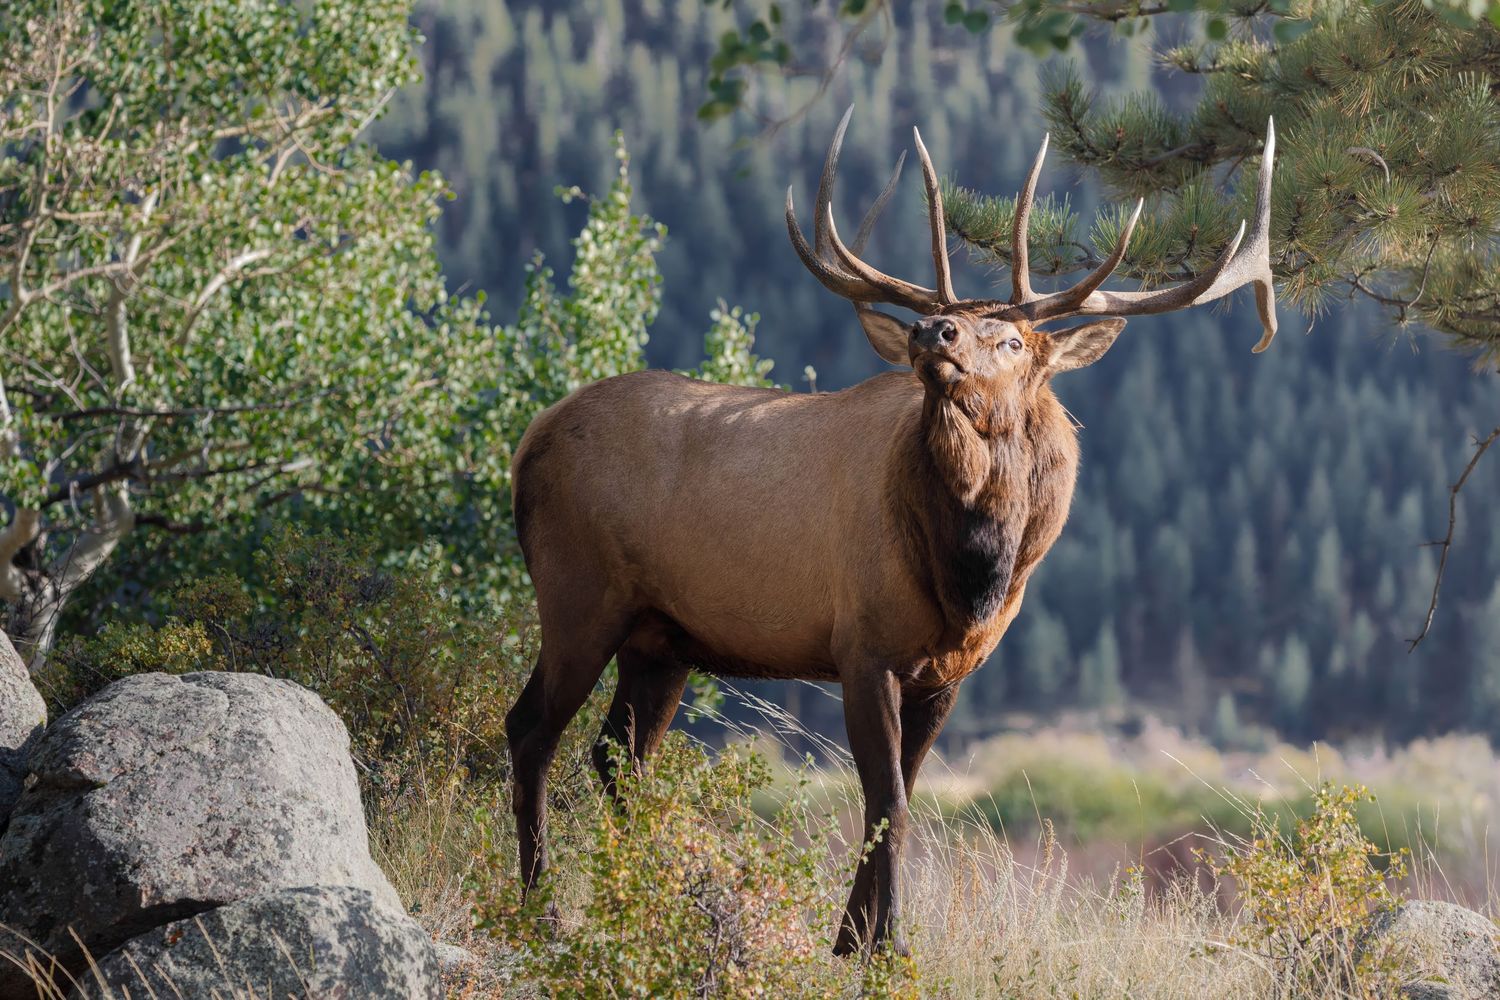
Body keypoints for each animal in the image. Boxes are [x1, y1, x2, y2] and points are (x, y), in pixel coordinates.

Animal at [505, 108, 1277, 956]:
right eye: (959, 328)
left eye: (1012, 340)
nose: (933, 331)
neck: (973, 578)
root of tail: (528, 443)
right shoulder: (863, 646)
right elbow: (889, 804)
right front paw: (888, 945)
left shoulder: (947, 672)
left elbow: (898, 796)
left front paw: (853, 938)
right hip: (580, 595)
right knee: (531, 730)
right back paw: (541, 907)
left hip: (660, 638)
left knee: (618, 755)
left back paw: (649, 903)